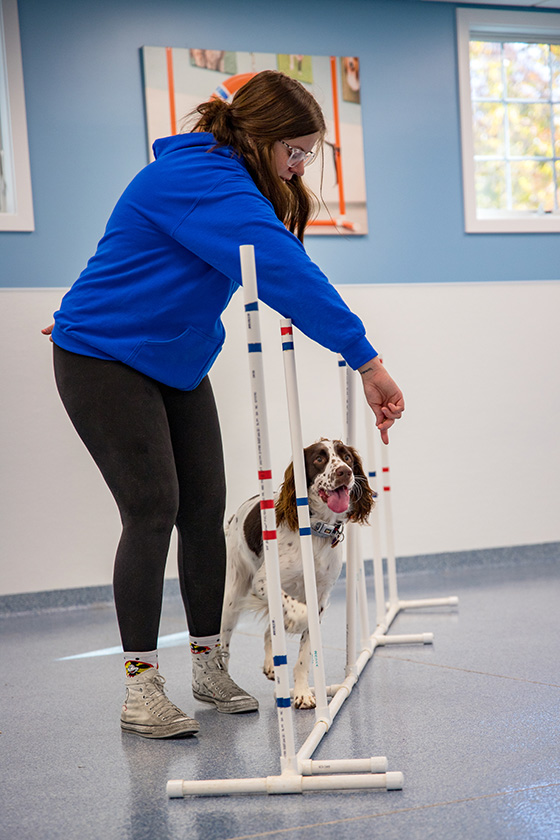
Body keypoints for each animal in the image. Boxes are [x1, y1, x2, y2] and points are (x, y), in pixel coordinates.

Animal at [221, 440, 374, 708]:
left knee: (269, 632)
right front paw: (300, 618)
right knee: (225, 647)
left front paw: (302, 692)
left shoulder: (321, 594)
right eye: (319, 459)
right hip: (232, 598)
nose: (344, 472)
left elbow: (304, 655)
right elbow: (300, 612)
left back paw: (272, 665)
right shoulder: (264, 582)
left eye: (346, 457)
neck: (316, 533)